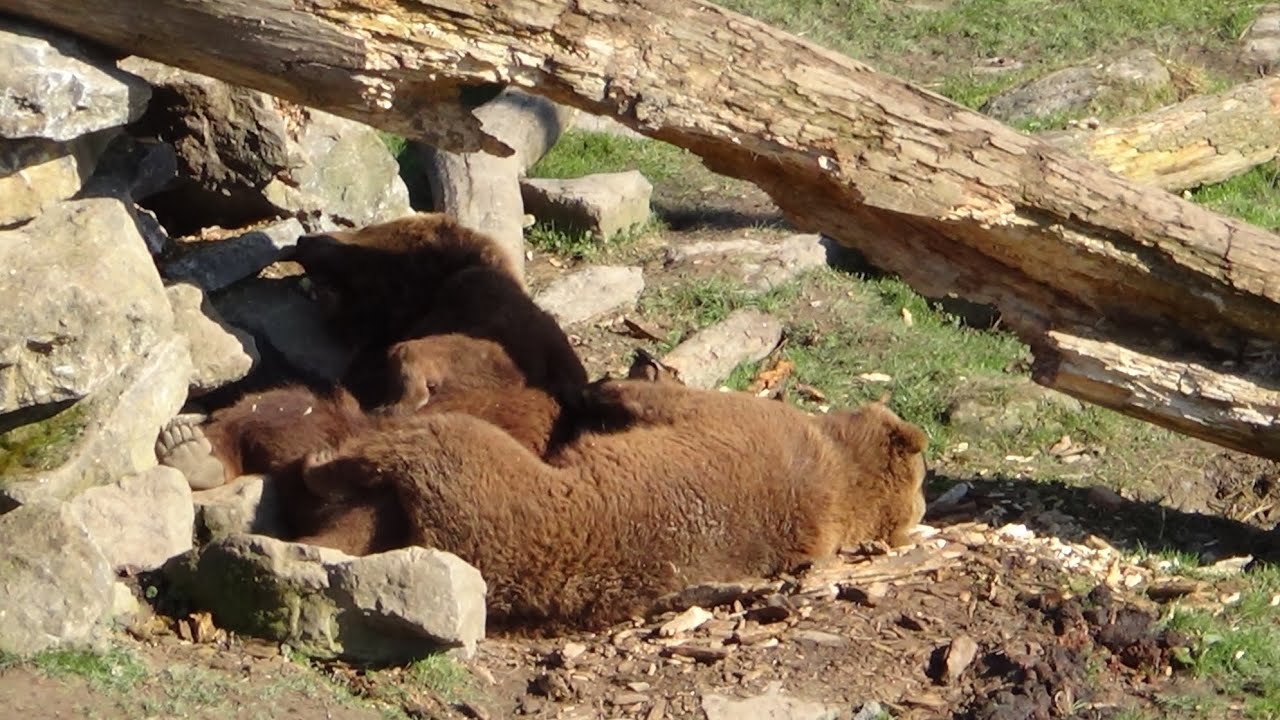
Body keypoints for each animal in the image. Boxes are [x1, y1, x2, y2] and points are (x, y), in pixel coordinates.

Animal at [295, 378, 929, 632]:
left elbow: (664, 399)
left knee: (420, 445)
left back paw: (320, 463)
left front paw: (603, 385)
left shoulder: (741, 420)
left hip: (491, 485)